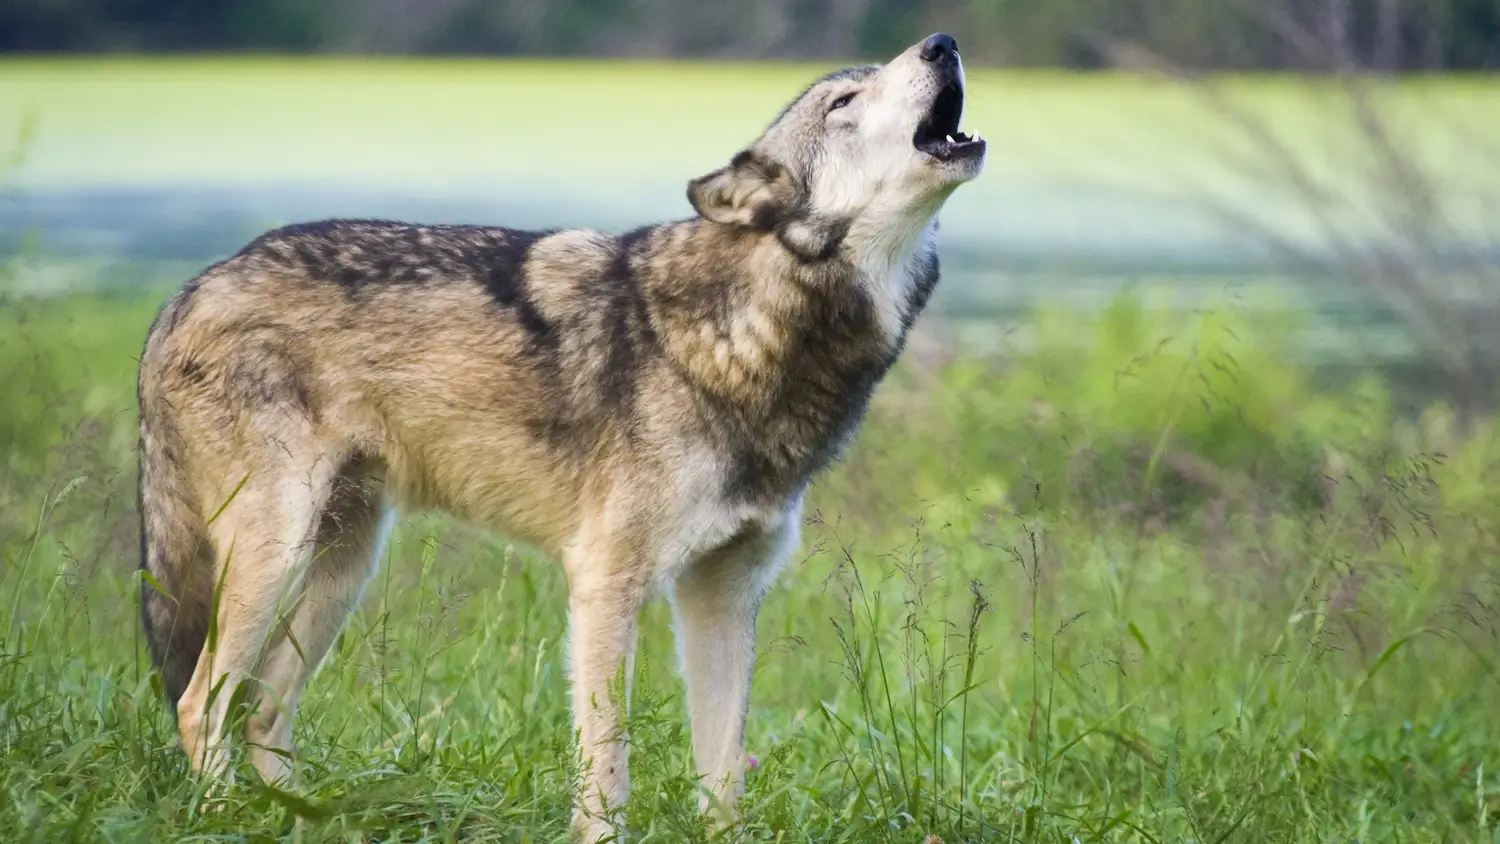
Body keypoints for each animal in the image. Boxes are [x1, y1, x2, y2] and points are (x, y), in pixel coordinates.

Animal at [138, 31, 984, 839]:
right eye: (844, 100)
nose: (943, 42)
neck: (745, 330)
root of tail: (188, 290)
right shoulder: (608, 584)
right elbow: (608, 764)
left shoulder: (724, 593)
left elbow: (722, 777)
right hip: (275, 556)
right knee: (199, 703)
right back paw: (225, 818)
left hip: (344, 569)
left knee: (263, 711)